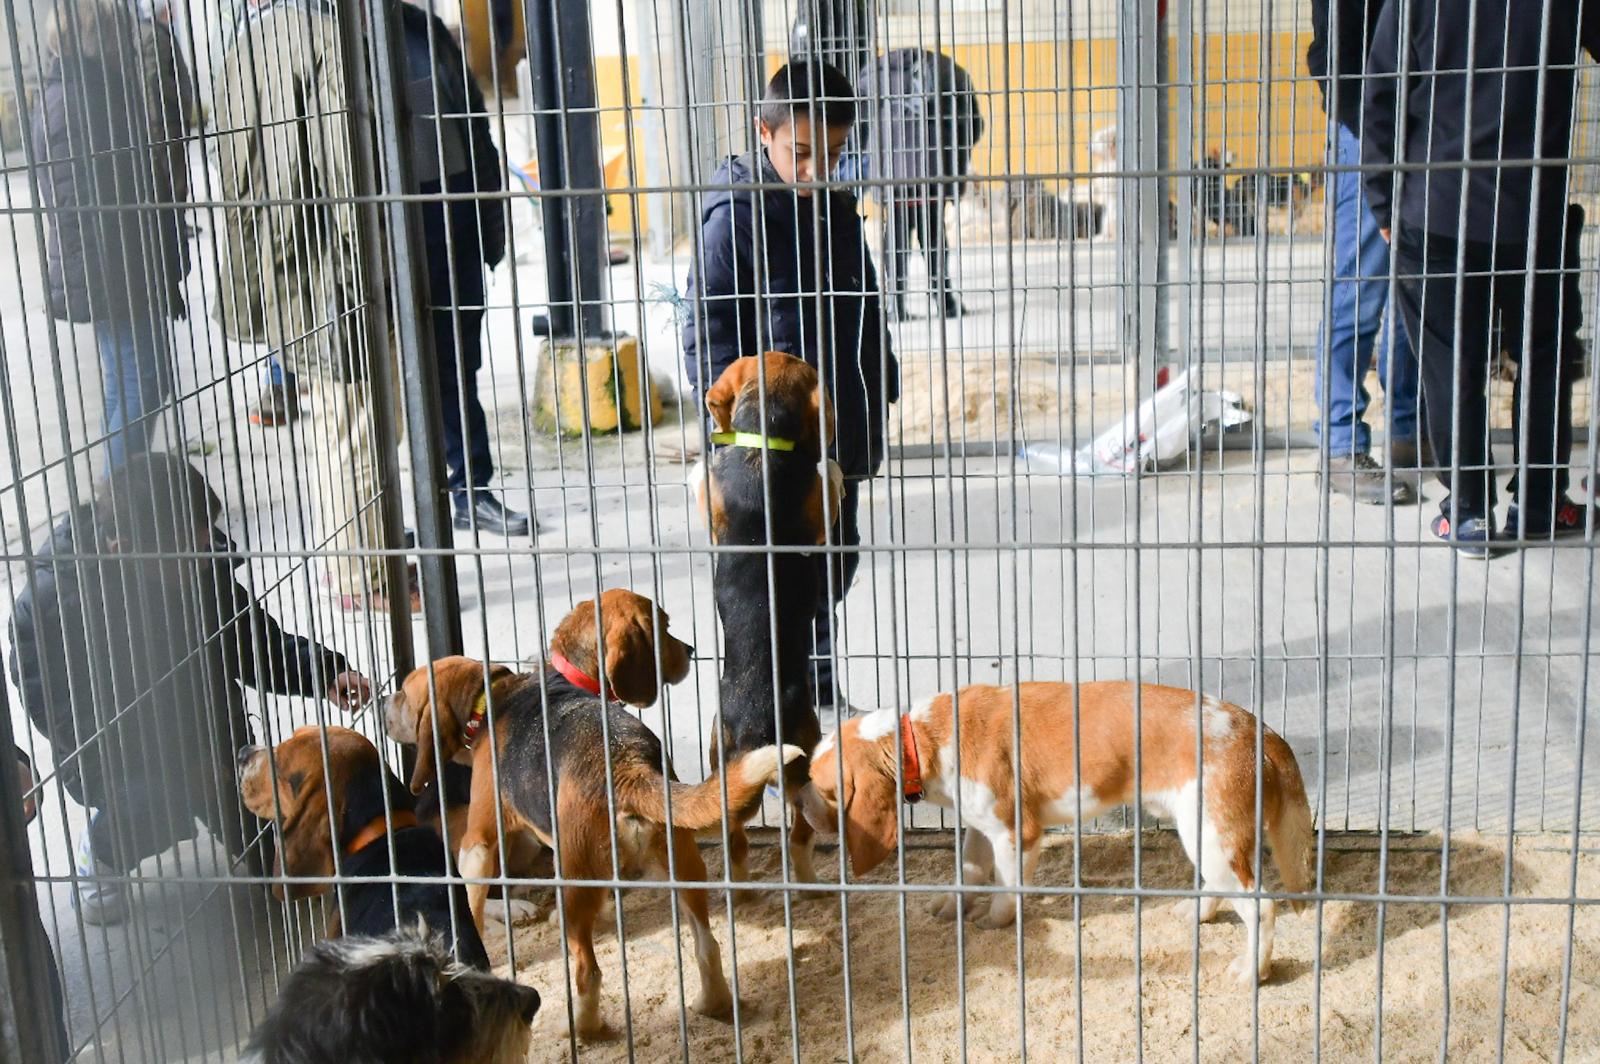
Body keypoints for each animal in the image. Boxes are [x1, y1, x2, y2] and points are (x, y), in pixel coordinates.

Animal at [691, 352, 851, 883]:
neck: (764, 441)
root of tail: (759, 726)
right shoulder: (818, 519)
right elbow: (829, 481)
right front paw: (834, 467)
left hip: (723, 758)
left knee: (738, 838)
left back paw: (743, 885)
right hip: (803, 748)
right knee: (801, 830)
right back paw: (806, 878)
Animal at [800, 684, 1312, 985]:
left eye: (825, 789)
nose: (797, 803)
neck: (922, 737)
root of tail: (1258, 729)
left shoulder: (1016, 834)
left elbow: (1005, 889)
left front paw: (994, 921)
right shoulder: (980, 827)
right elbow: (970, 870)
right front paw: (953, 906)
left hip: (1212, 838)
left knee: (1262, 908)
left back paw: (1253, 973)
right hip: (1205, 838)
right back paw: (1199, 915)